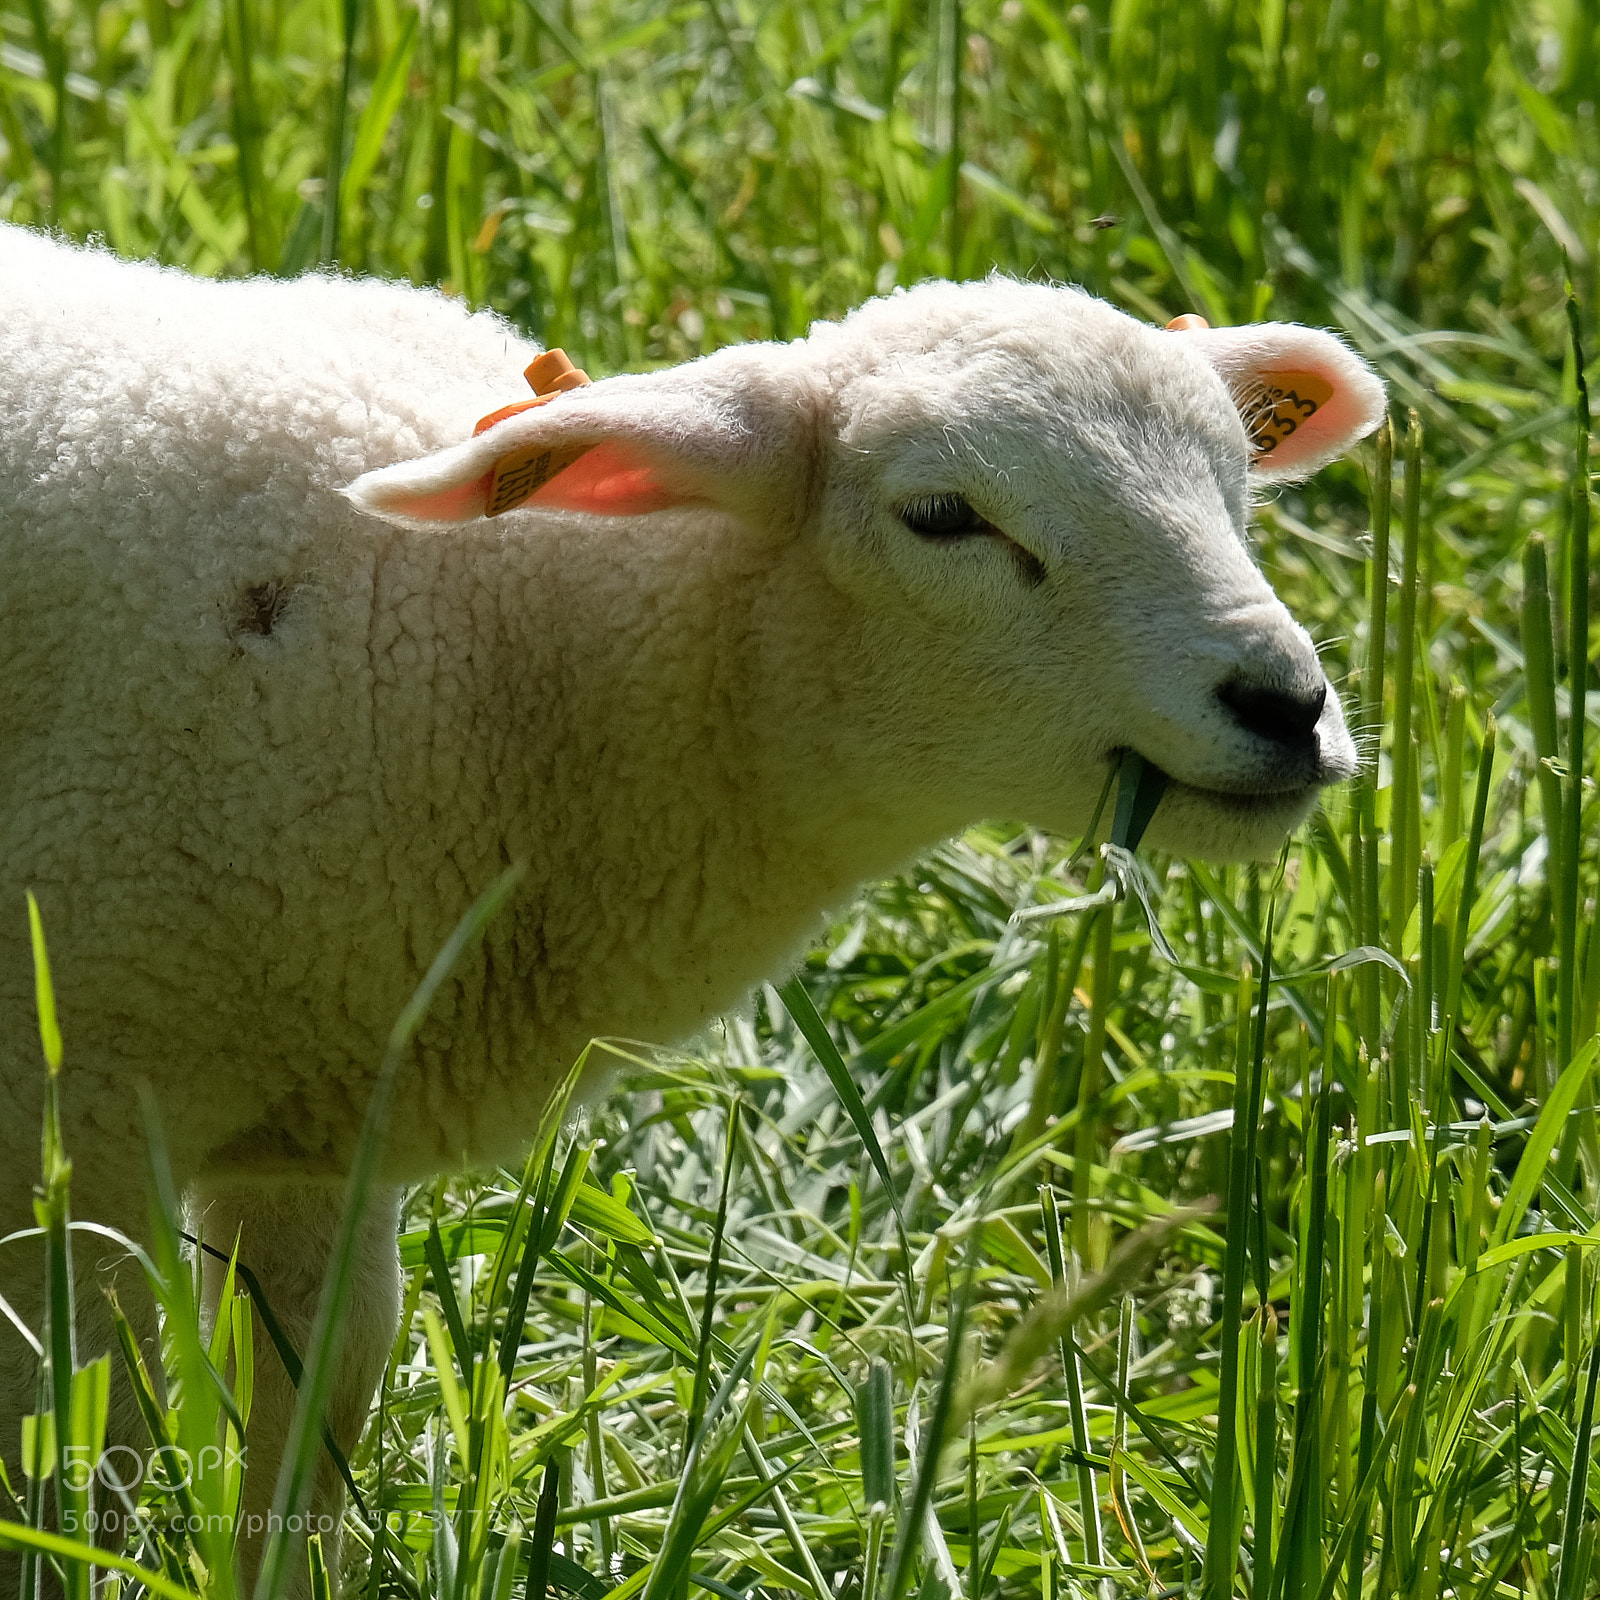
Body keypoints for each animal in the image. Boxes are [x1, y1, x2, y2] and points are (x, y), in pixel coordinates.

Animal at [0, 223, 1383, 1587]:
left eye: (1236, 480)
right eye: (942, 516)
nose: (1286, 704)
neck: (518, 645)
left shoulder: (317, 1134)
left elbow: (304, 1424)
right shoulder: (72, 1120)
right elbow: (80, 1453)